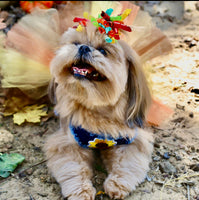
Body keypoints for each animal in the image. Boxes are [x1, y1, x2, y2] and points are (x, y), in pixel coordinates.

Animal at [44, 8, 154, 200]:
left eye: (103, 50)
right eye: (76, 43)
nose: (84, 47)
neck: (96, 107)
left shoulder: (133, 140)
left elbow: (126, 162)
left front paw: (117, 184)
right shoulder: (67, 142)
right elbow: (74, 168)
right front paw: (81, 191)